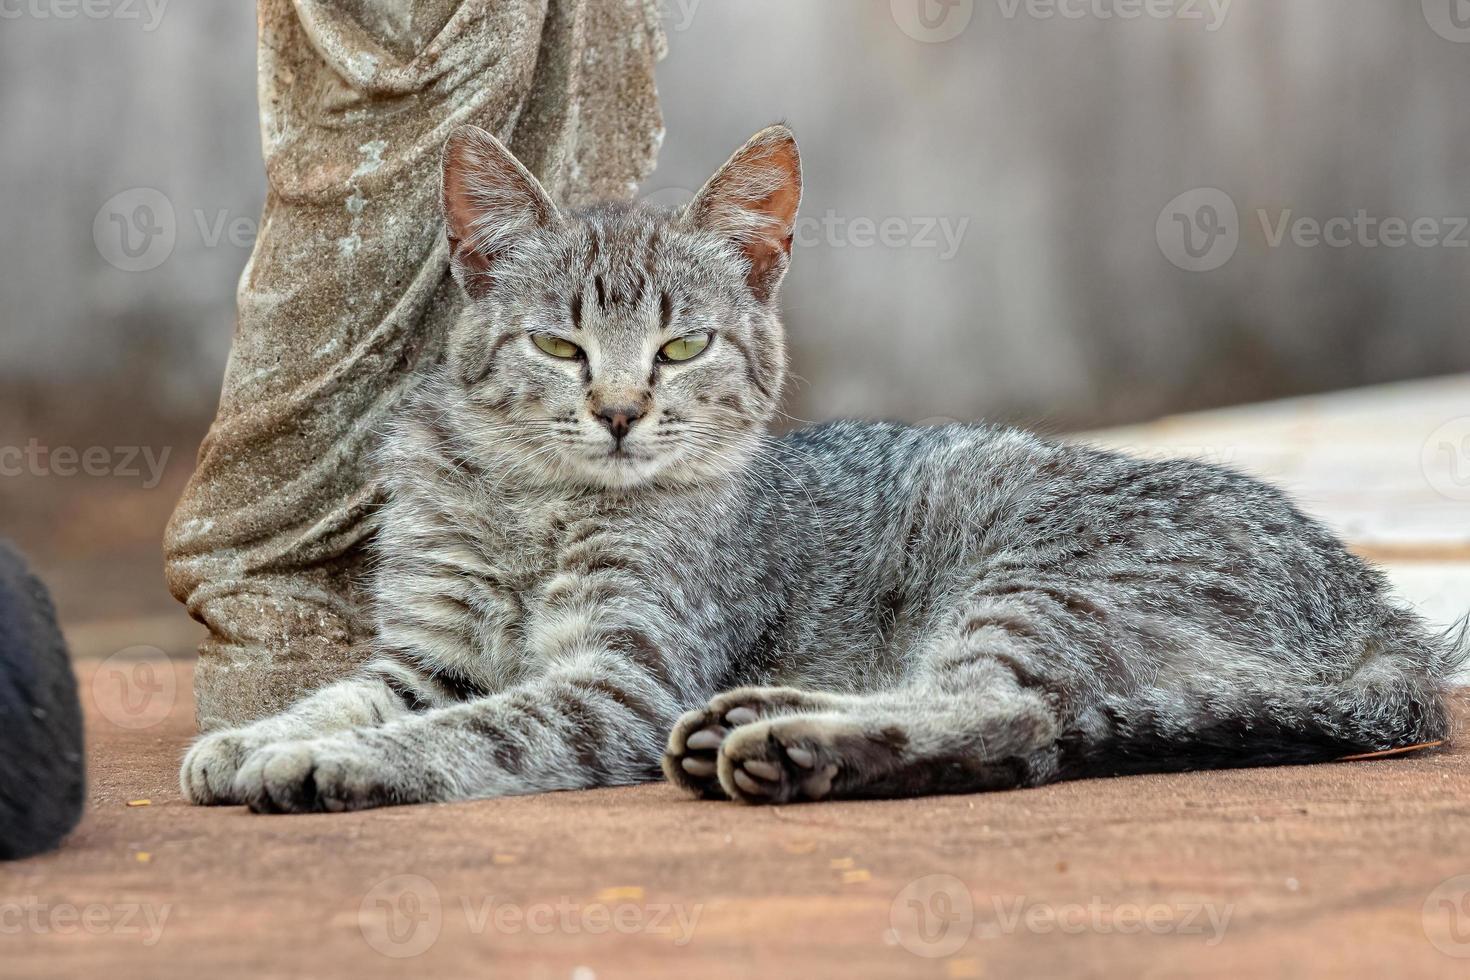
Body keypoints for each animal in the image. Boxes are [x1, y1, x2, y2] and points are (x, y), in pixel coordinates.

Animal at [180, 124, 1458, 811]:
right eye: (560, 345)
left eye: (682, 346)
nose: (620, 410)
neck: (534, 508)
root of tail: (1380, 608)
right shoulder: (429, 655)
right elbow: (349, 688)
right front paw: (255, 736)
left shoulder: (618, 679)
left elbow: (470, 730)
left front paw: (329, 757)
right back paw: (764, 717)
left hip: (1035, 576)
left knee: (1017, 715)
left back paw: (796, 745)